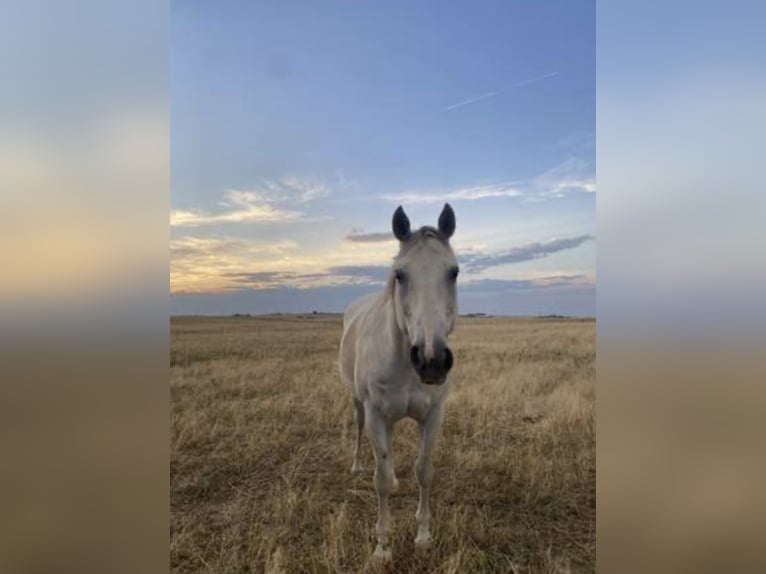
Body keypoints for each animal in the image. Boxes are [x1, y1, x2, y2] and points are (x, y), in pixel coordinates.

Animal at [338, 203, 459, 561]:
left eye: (454, 272)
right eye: (400, 275)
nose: (432, 360)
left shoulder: (433, 415)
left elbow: (424, 472)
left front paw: (423, 535)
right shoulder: (376, 415)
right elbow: (379, 482)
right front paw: (382, 547)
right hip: (360, 406)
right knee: (362, 434)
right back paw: (357, 465)